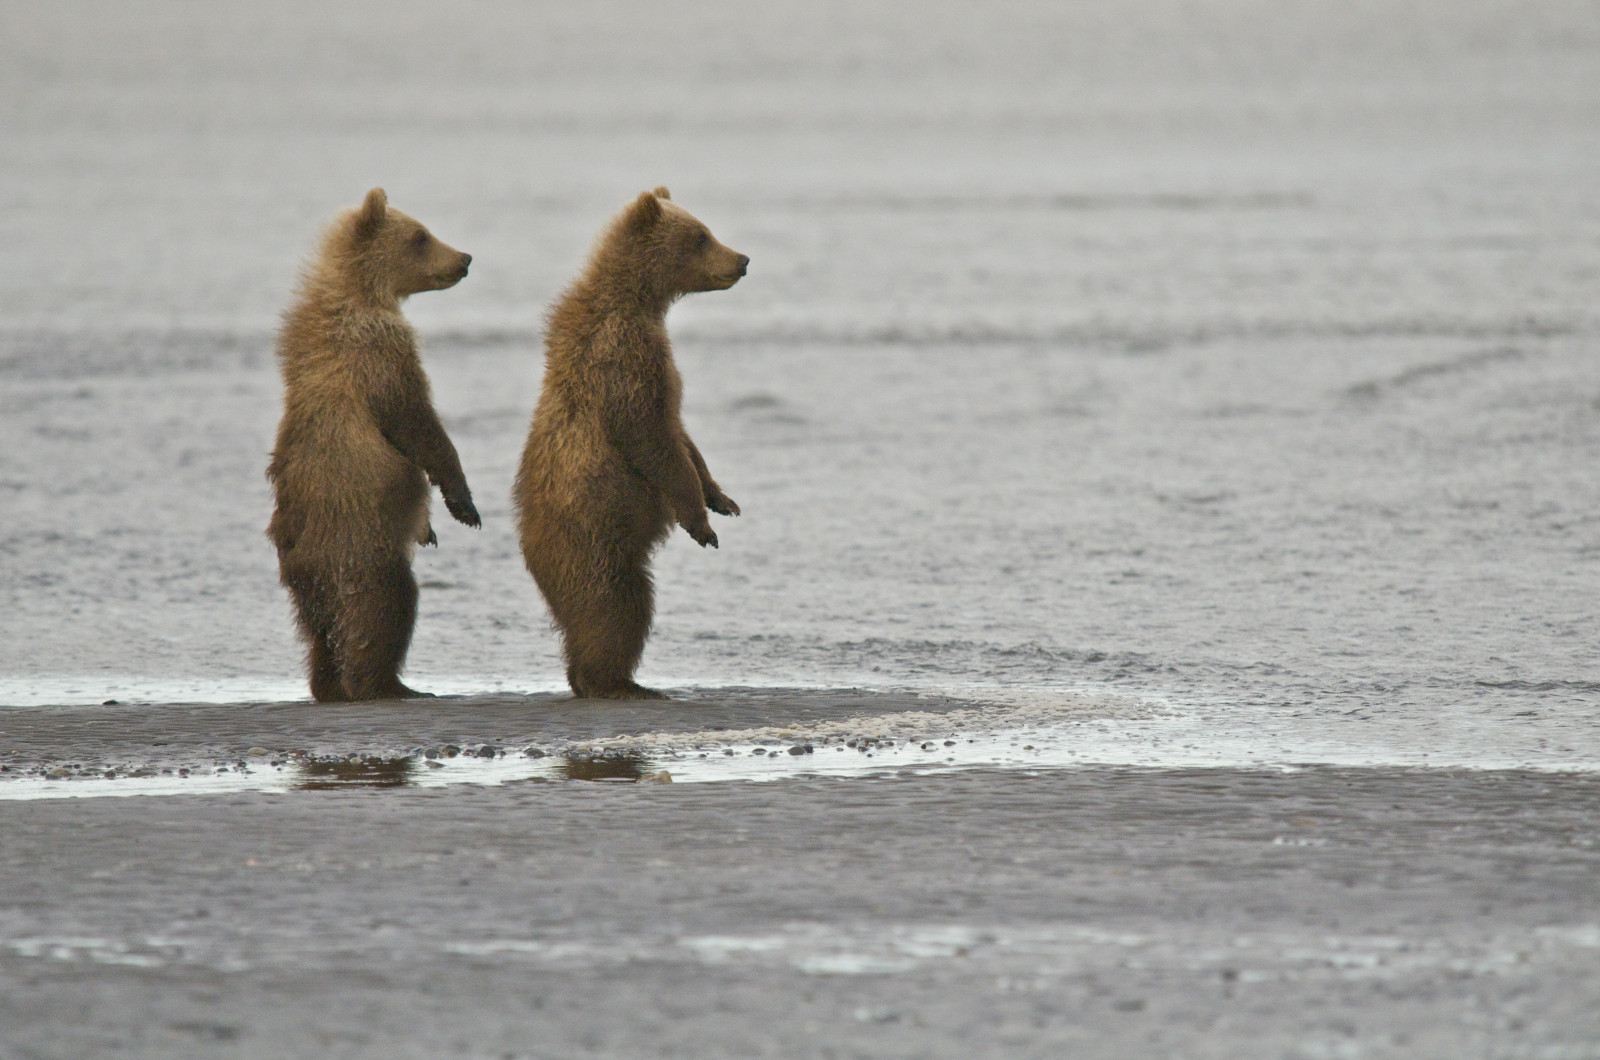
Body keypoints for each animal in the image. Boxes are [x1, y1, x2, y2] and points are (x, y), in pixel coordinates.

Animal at [266, 187, 480, 702]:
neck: (359, 295)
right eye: (420, 235)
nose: (465, 258)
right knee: (389, 601)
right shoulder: (379, 353)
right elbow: (418, 422)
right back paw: (389, 684)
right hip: (358, 539)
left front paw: (430, 527)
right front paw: (463, 503)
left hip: (305, 568)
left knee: (320, 631)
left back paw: (329, 684)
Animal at [513, 188, 747, 699]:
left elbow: (682, 435)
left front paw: (721, 498)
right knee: (619, 603)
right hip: (593, 535)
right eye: (701, 236)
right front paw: (700, 522)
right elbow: (653, 437)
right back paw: (619, 682)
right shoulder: (625, 359)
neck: (638, 302)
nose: (742, 260)